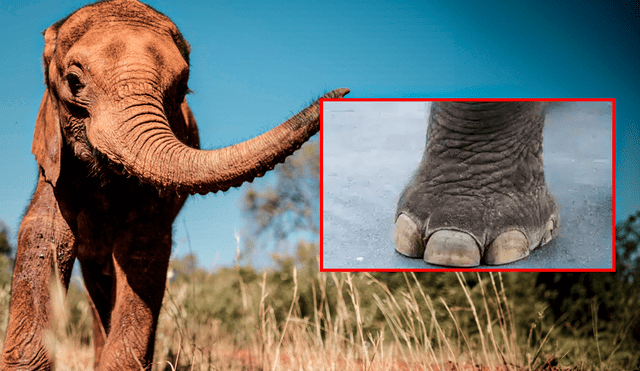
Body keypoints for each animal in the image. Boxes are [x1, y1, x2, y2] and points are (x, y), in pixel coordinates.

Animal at [1, 1, 350, 370]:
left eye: (182, 89)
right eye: (73, 82)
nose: (343, 93)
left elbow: (142, 246)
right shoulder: (55, 155)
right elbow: (46, 233)